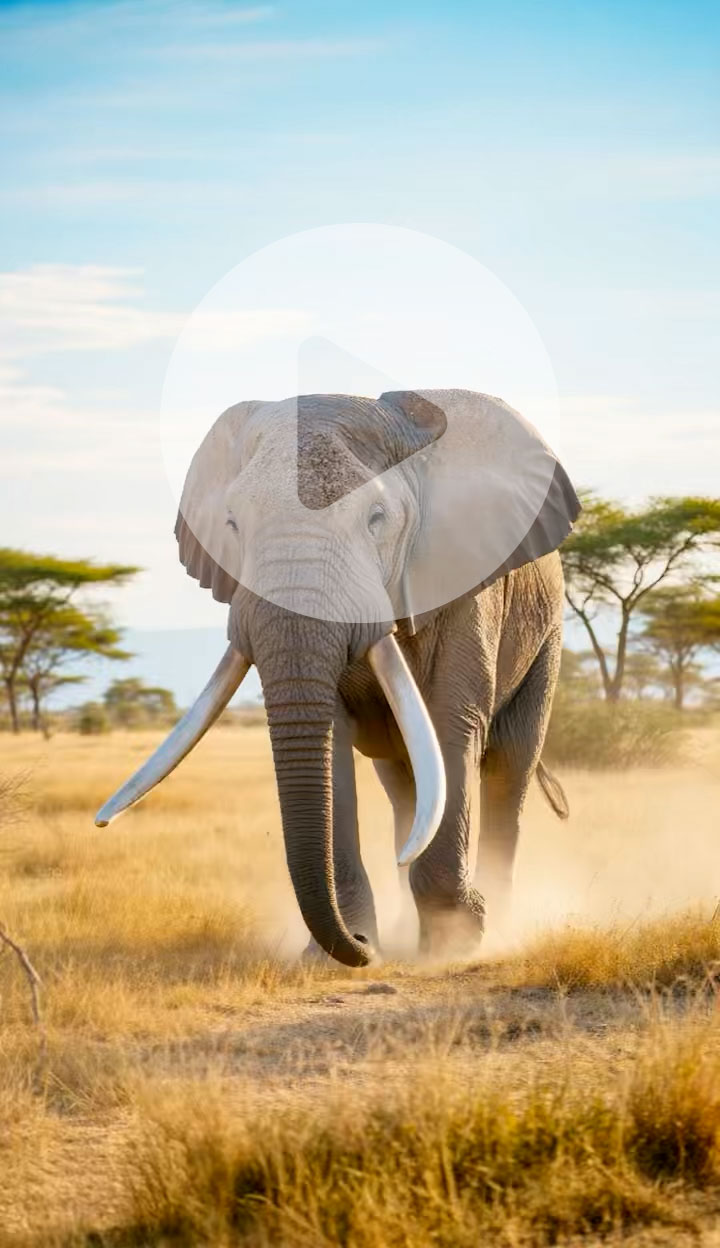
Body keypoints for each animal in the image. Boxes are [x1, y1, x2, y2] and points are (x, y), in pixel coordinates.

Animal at [96, 389, 580, 967]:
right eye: (232, 524)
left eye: (376, 518)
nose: (362, 951)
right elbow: (330, 737)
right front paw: (343, 951)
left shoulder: (468, 587)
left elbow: (451, 722)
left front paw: (454, 943)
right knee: (406, 786)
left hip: (546, 636)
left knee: (509, 766)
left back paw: (494, 926)